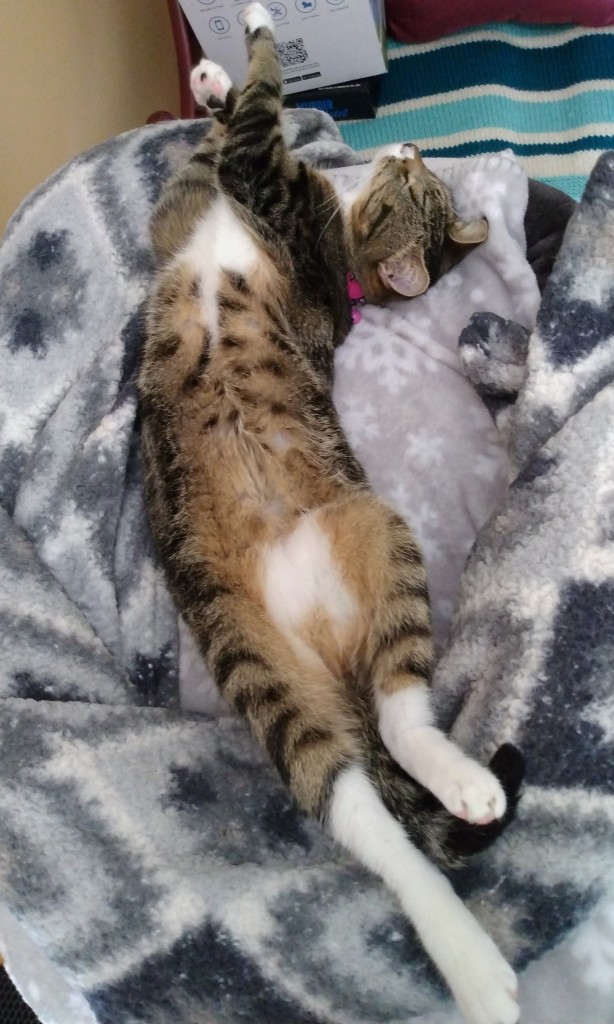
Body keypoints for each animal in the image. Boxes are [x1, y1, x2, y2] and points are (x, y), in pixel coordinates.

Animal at [138, 6, 521, 1015]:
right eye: (419, 180)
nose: (414, 145)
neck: (342, 258)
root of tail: (319, 637)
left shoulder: (262, 182)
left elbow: (262, 116)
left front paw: (253, 40)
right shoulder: (186, 210)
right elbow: (215, 146)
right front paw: (209, 84)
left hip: (382, 536)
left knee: (401, 722)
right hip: (255, 664)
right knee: (366, 813)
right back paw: (469, 952)